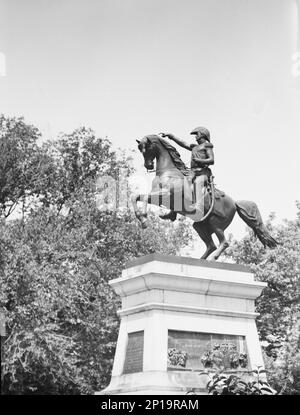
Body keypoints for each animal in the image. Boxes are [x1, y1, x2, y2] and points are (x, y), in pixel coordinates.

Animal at [132, 136, 278, 260]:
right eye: (140, 149)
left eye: (148, 148)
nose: (148, 165)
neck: (169, 171)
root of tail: (234, 203)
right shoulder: (159, 197)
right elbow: (135, 196)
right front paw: (140, 217)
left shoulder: (166, 195)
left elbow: (143, 197)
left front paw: (144, 219)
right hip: (200, 225)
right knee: (211, 245)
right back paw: (201, 260)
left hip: (216, 223)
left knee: (224, 243)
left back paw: (213, 258)